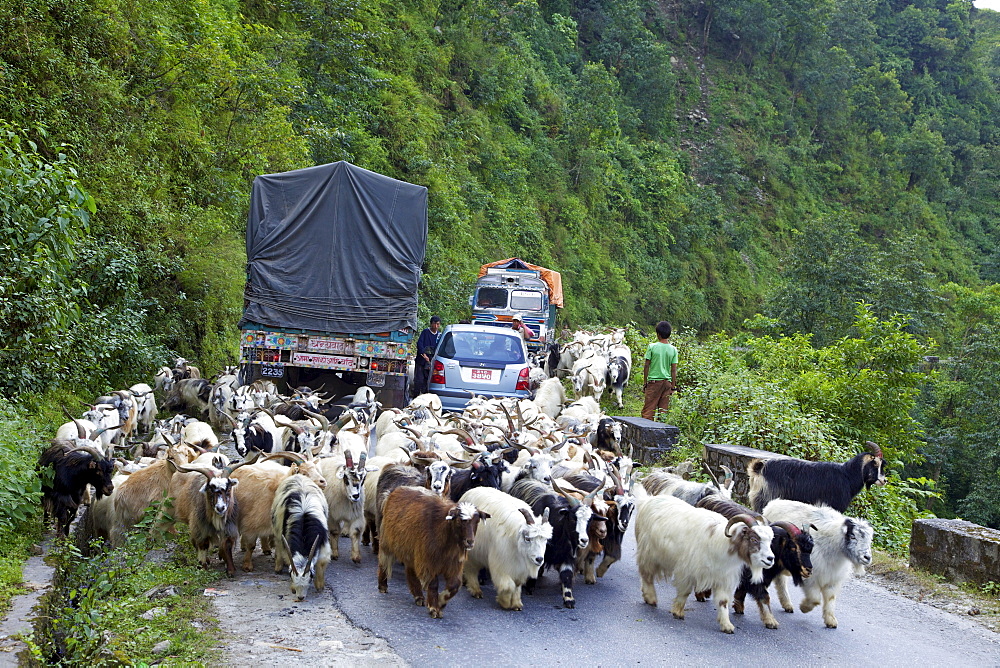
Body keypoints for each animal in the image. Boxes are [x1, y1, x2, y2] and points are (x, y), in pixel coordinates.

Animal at [376, 486, 490, 620]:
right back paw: (383, 586)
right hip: (387, 544)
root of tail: (394, 491)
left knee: (410, 571)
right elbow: (434, 584)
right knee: (383, 563)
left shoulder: (453, 564)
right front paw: (434, 608)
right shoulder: (428, 562)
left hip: (411, 552)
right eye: (459, 521)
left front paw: (440, 601)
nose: (470, 542)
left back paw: (418, 596)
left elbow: (454, 586)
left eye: (477, 522)